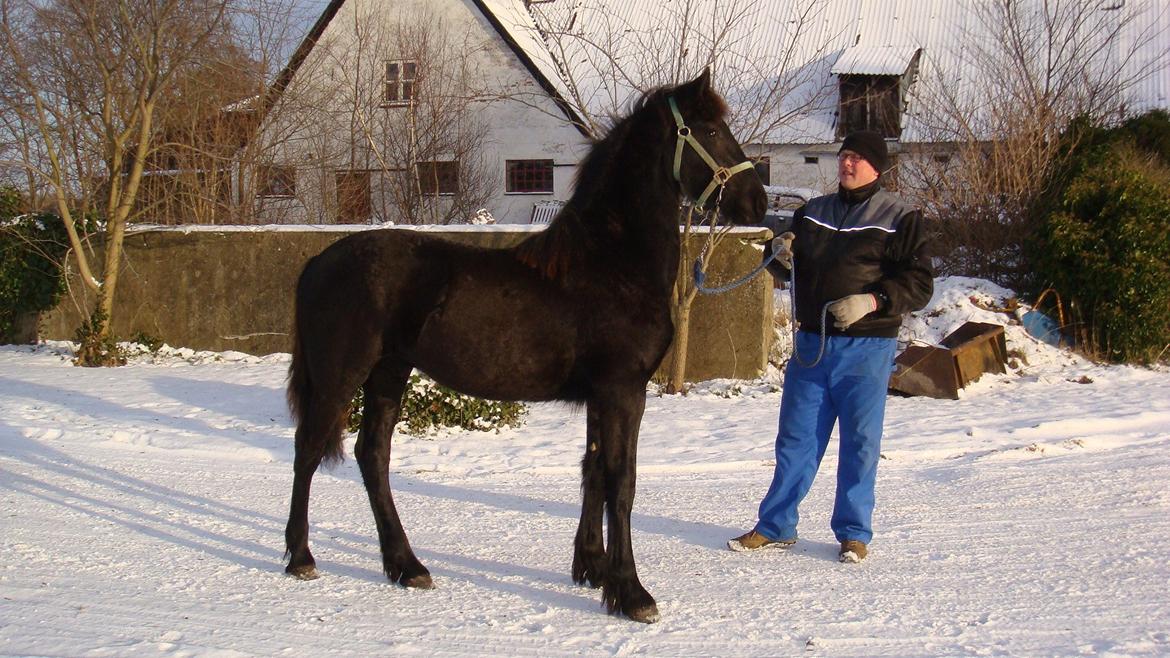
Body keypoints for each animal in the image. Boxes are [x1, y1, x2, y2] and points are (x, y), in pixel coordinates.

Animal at [283, 69, 767, 622]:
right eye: (708, 130)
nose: (758, 202)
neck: (610, 261)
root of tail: (319, 262)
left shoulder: (602, 396)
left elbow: (593, 472)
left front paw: (592, 570)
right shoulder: (623, 391)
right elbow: (621, 483)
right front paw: (631, 592)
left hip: (388, 373)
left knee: (372, 457)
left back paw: (406, 565)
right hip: (342, 374)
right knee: (308, 449)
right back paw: (301, 556)